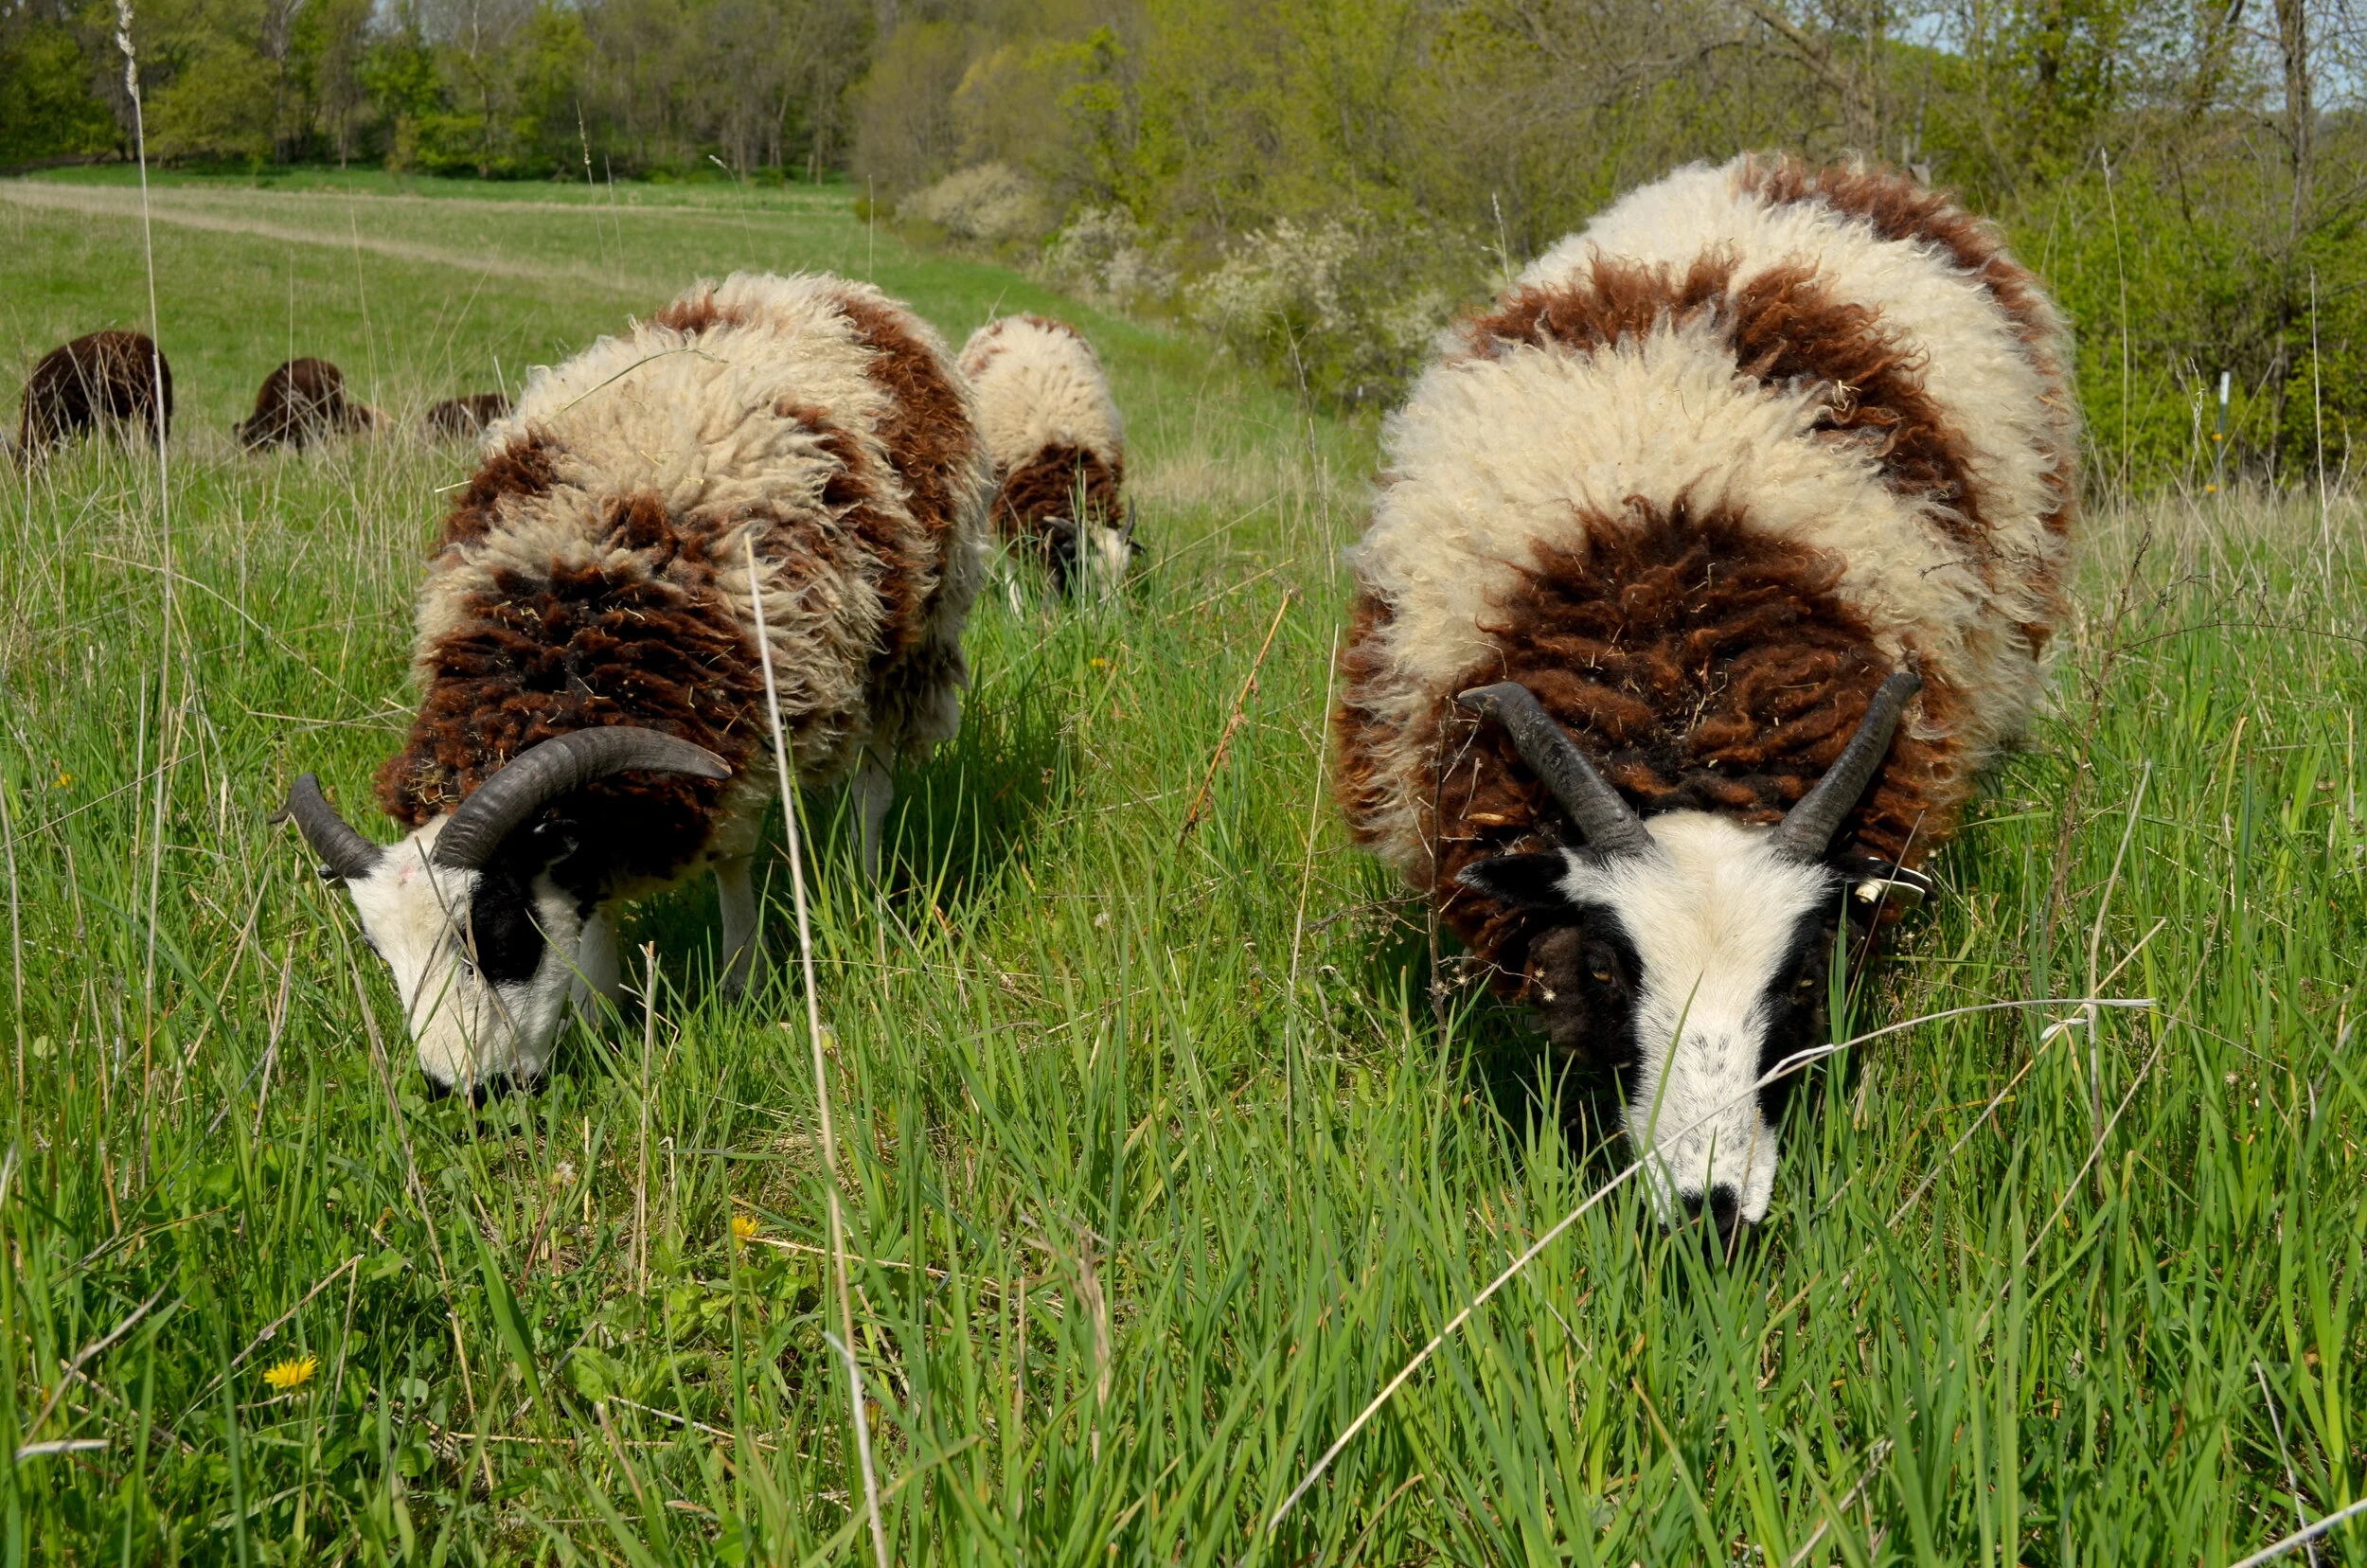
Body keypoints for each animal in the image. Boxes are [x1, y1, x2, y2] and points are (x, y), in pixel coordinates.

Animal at [281, 271, 991, 1096]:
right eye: (380, 952)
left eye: (500, 933)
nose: (465, 1093)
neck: (565, 638)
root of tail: (820, 287)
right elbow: (600, 904)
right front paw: (602, 1013)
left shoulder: (739, 735)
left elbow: (732, 862)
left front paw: (741, 979)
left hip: (911, 641)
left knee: (873, 781)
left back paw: (862, 884)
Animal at [957, 314, 1133, 593]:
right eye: (1086, 572)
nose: (1113, 610)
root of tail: (1025, 317)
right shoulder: (1007, 506)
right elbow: (1012, 564)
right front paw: (1017, 602)